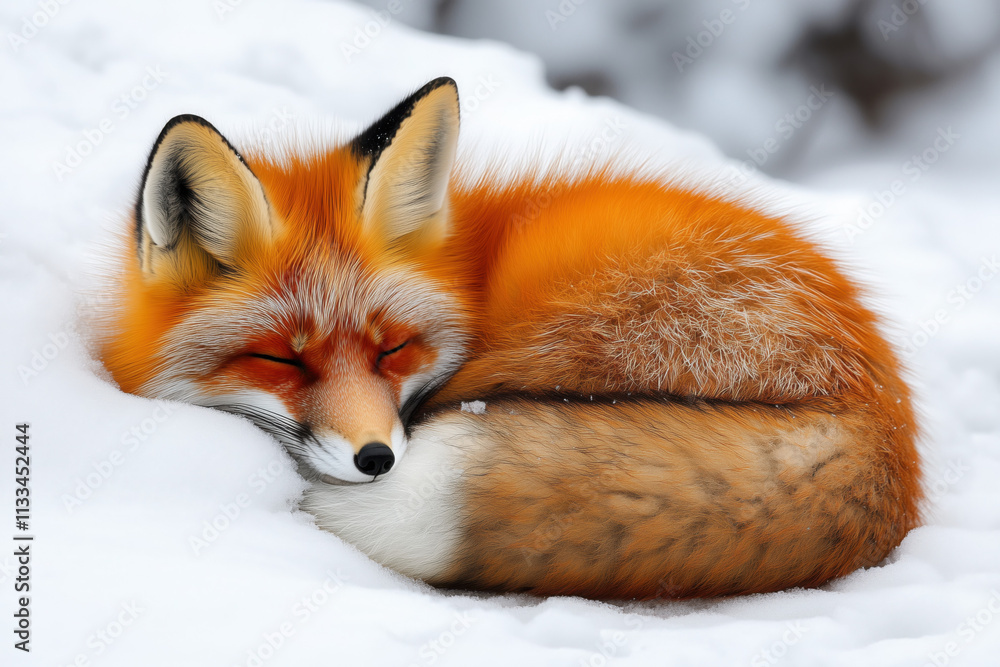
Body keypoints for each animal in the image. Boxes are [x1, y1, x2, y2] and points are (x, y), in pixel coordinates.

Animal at [96, 77, 922, 599]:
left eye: (392, 348)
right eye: (278, 358)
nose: (377, 458)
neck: (467, 276)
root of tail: (886, 415)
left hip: (569, 327)